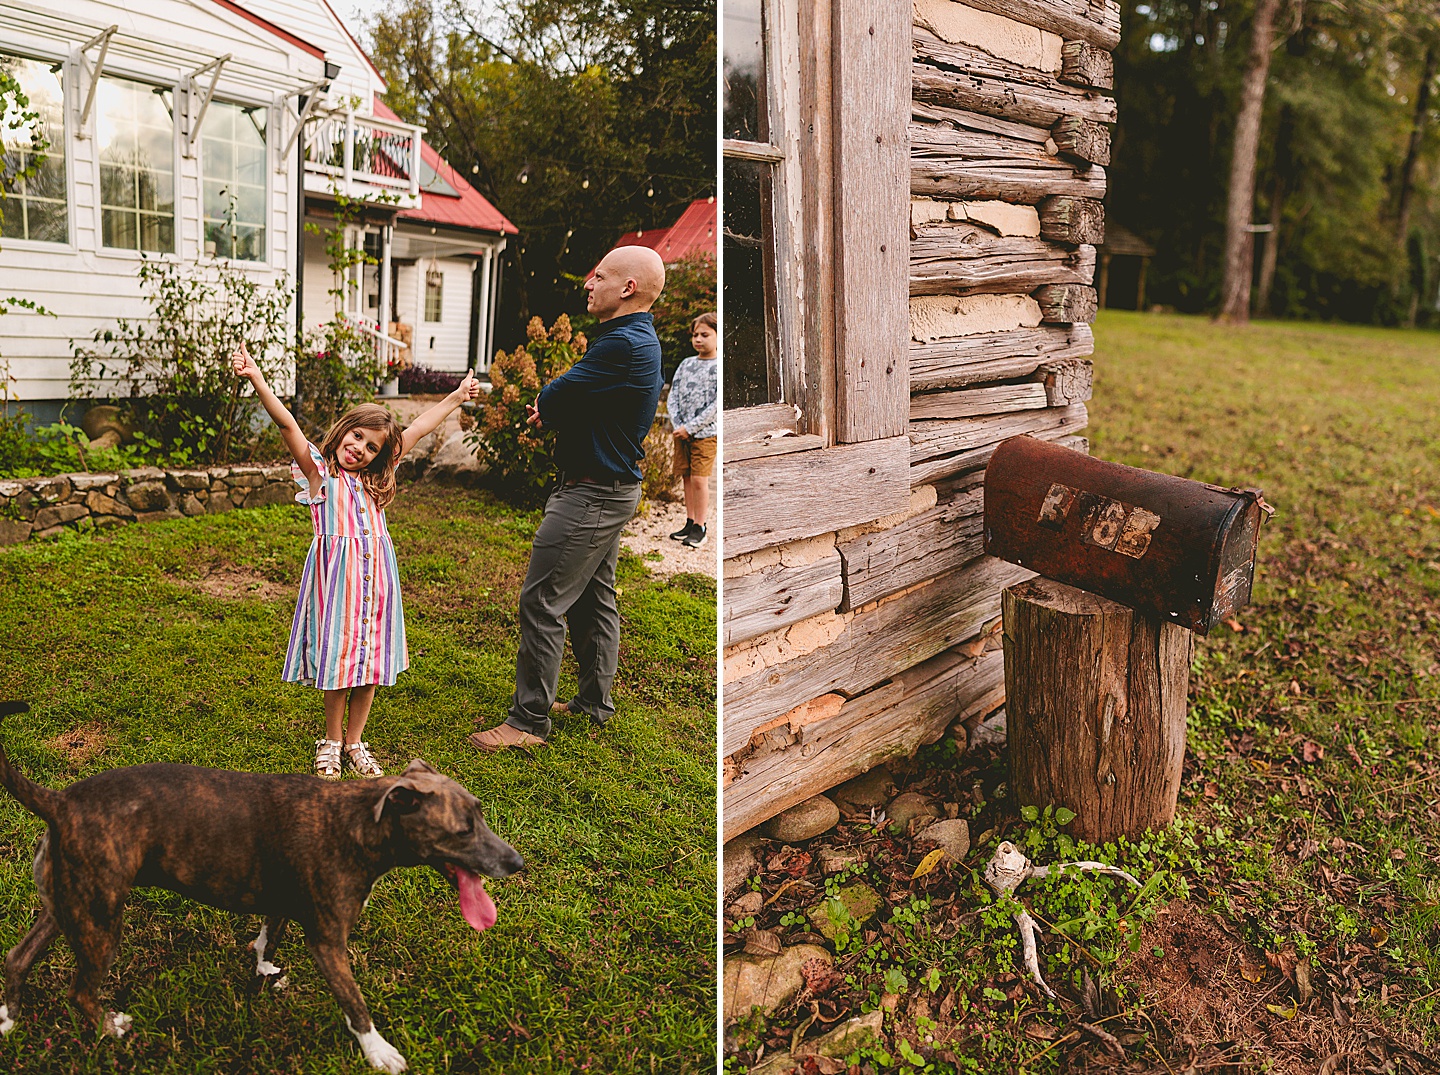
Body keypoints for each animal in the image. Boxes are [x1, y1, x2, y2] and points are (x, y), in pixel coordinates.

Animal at [0, 702, 527, 1070]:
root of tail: (60, 801)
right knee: (79, 993)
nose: (517, 863)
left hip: (67, 905)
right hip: (100, 920)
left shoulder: (284, 902)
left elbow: (267, 938)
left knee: (17, 957)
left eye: (480, 814)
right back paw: (111, 1028)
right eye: (462, 830)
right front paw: (378, 1051)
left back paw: (7, 1017)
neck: (358, 821)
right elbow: (354, 1003)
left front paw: (263, 968)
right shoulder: (328, 942)